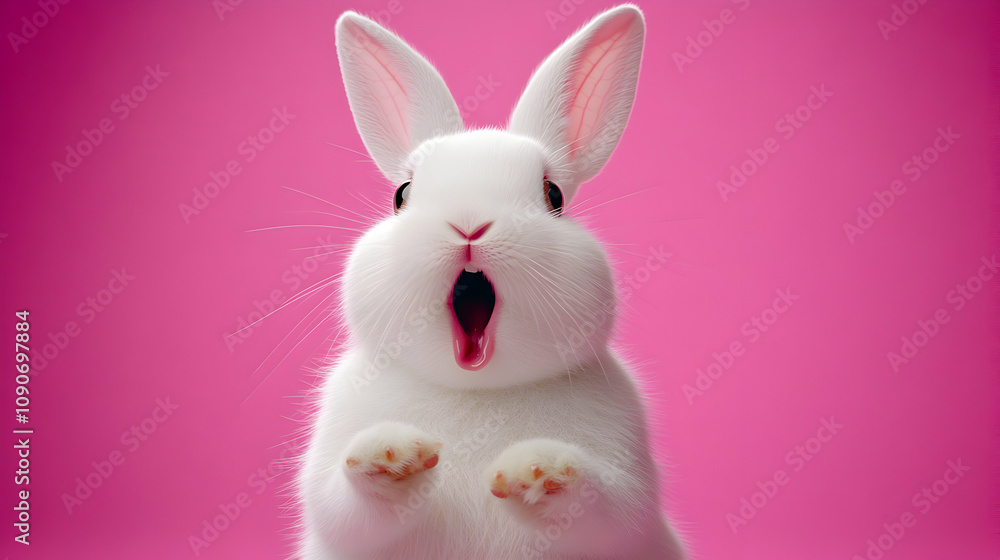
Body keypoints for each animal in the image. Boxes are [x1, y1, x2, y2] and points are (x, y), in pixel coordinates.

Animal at [298, 4, 687, 559]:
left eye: (553, 196)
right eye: (401, 194)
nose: (468, 224)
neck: (477, 390)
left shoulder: (627, 481)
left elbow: (605, 505)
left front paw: (540, 469)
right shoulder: (333, 480)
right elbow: (345, 506)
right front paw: (391, 453)